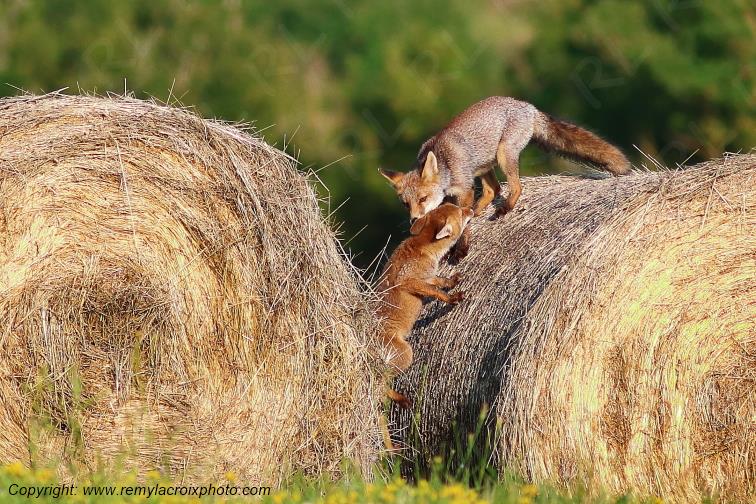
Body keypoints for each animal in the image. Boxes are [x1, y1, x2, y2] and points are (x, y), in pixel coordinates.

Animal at [377, 202, 473, 408]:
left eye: (454, 206)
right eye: (460, 213)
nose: (471, 209)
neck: (424, 249)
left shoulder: (428, 277)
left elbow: (439, 281)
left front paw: (451, 282)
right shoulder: (408, 281)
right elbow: (437, 292)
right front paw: (452, 298)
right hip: (405, 355)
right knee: (379, 383)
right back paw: (400, 399)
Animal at [380, 96, 631, 260]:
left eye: (422, 199)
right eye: (406, 204)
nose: (413, 219)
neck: (446, 166)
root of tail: (528, 106)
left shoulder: (464, 189)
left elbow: (462, 223)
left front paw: (461, 249)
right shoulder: (454, 194)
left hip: (503, 154)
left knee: (514, 187)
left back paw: (505, 208)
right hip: (484, 165)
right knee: (493, 190)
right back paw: (480, 210)